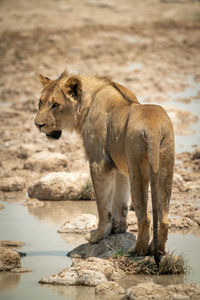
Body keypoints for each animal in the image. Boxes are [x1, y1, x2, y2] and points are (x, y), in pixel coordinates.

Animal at [34, 71, 173, 268]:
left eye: (55, 105)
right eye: (40, 103)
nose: (37, 124)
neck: (88, 101)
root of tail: (152, 127)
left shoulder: (99, 164)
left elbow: (102, 205)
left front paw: (97, 236)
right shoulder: (120, 166)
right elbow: (119, 201)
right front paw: (118, 229)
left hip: (138, 169)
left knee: (144, 217)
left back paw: (137, 251)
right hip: (165, 167)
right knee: (163, 218)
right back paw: (158, 250)